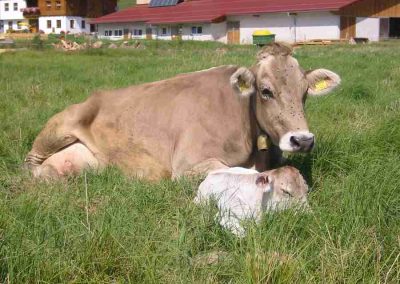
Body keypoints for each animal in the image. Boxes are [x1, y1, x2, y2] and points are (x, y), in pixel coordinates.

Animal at [25, 42, 340, 180]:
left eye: (304, 93)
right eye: (265, 91)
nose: (302, 140)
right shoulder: (188, 164)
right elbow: (237, 171)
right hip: (59, 126)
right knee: (31, 163)